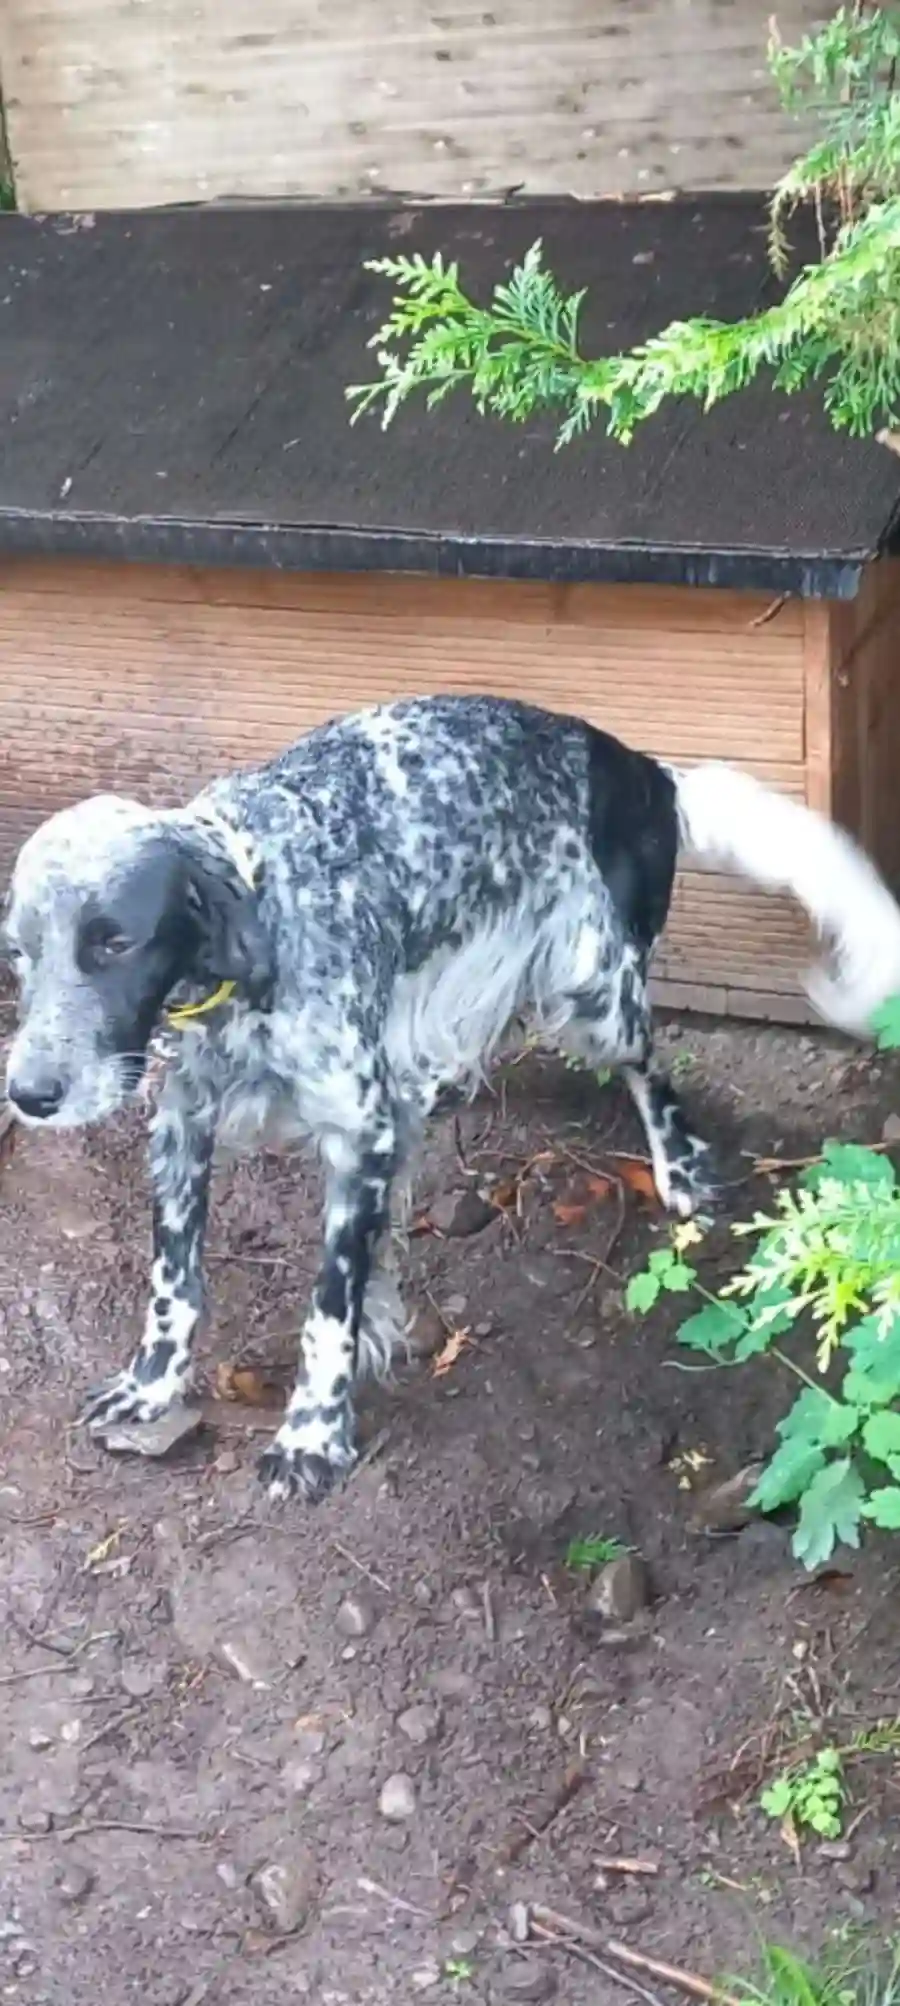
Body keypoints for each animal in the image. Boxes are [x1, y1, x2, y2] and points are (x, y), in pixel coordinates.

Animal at [5, 698, 897, 1500]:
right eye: (18, 952)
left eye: (115, 942)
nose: (28, 1095)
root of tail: (641, 768)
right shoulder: (183, 1124)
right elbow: (174, 1283)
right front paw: (152, 1385)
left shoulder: (357, 1131)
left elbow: (327, 1308)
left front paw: (312, 1435)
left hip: (595, 998)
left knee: (651, 1068)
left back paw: (677, 1167)